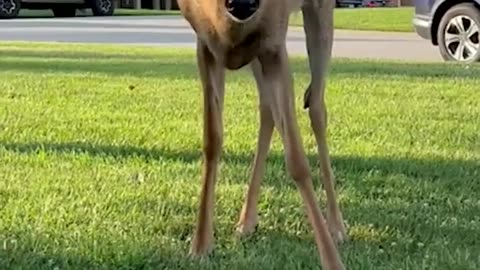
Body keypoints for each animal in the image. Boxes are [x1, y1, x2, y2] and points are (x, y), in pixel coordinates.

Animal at [174, 0, 346, 268]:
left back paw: (336, 226)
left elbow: (297, 161)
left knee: (317, 108)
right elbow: (212, 140)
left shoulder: (274, 44)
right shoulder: (206, 45)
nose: (242, 4)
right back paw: (246, 221)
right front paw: (200, 245)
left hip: (319, 12)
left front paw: (332, 261)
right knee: (267, 109)